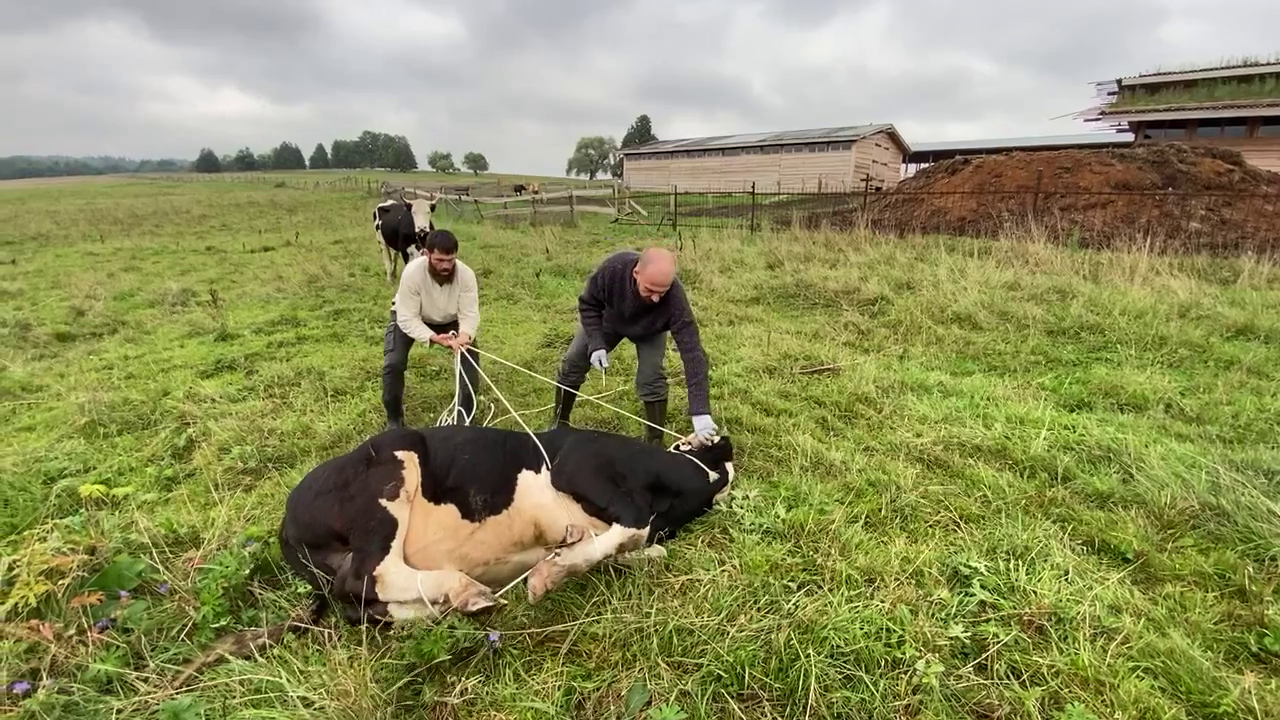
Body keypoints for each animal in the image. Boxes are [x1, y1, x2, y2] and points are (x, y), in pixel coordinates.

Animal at [280, 420, 742, 622]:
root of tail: (286, 522)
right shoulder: (577, 465)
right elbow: (635, 524)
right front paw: (551, 573)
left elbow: (646, 546)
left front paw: (565, 551)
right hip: (391, 468)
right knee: (366, 575)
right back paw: (464, 590)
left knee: (360, 605)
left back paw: (456, 602)